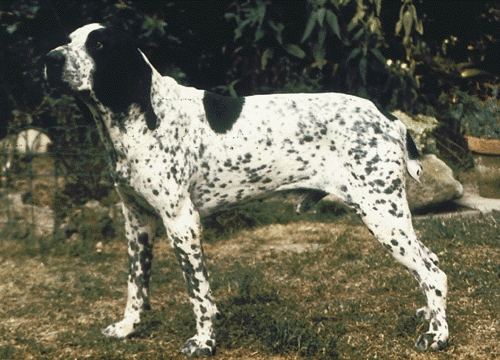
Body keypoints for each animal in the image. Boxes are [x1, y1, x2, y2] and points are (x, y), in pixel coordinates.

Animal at [44, 23, 450, 358]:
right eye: (67, 40)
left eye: (99, 45)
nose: (50, 60)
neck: (143, 115)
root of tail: (389, 119)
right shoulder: (137, 222)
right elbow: (136, 287)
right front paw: (128, 328)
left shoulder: (181, 222)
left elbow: (198, 293)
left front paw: (204, 342)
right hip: (388, 217)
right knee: (430, 263)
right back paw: (428, 316)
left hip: (382, 215)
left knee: (433, 274)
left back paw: (438, 336)